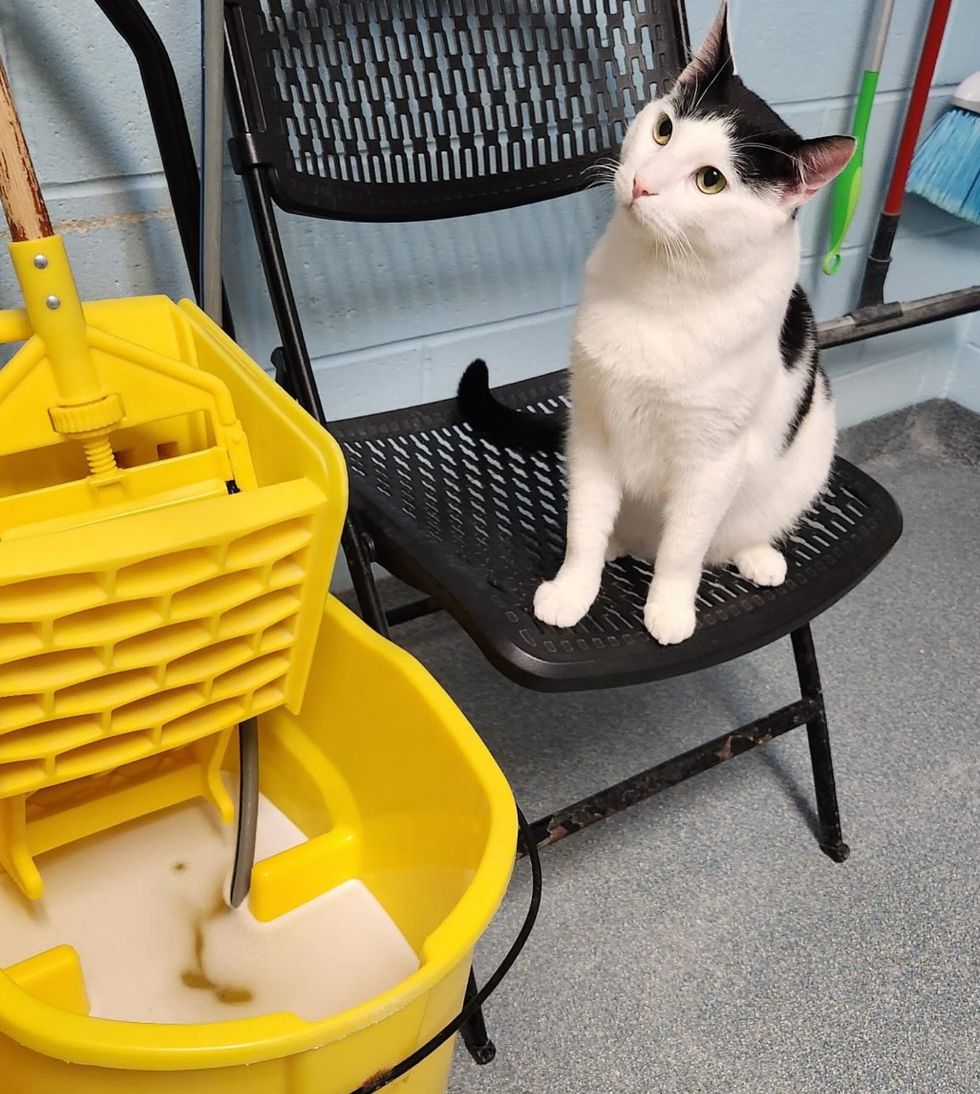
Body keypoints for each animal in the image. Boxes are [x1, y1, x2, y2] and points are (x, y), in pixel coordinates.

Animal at [457, 0, 848, 643]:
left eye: (711, 179)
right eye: (663, 129)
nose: (643, 183)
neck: (660, 285)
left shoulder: (712, 462)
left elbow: (683, 550)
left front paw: (668, 610)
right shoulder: (591, 428)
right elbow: (583, 527)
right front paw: (574, 589)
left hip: (811, 453)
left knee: (724, 538)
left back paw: (757, 555)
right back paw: (620, 545)